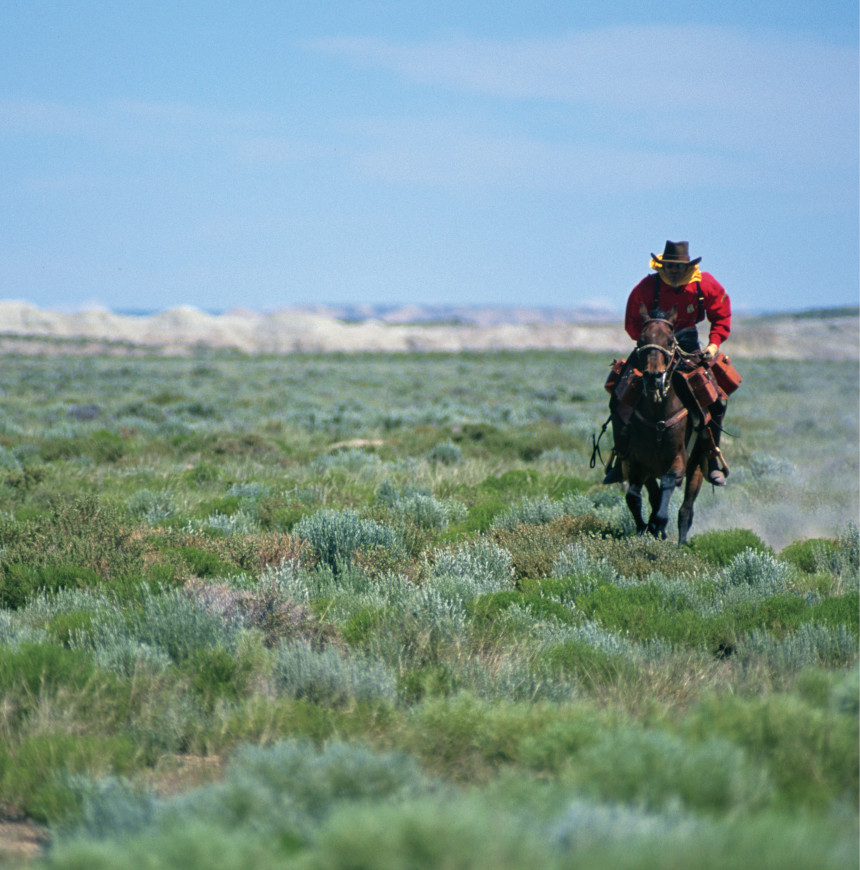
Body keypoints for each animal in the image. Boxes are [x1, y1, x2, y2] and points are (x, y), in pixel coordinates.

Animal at [624, 304, 704, 540]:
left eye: (670, 341)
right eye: (641, 340)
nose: (653, 377)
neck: (657, 415)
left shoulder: (678, 460)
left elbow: (667, 487)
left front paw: (659, 526)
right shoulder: (639, 463)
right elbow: (633, 496)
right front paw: (644, 528)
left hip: (697, 466)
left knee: (686, 509)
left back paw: (680, 542)